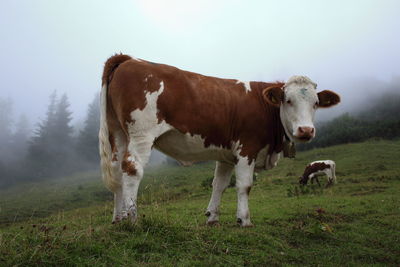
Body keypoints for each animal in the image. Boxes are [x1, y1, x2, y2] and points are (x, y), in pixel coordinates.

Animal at [98, 54, 340, 228]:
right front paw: (244, 219)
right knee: (132, 169)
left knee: (117, 172)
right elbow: (244, 185)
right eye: (288, 100)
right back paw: (132, 219)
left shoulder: (226, 155)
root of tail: (128, 58)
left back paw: (118, 218)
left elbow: (219, 185)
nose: (306, 130)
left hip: (118, 133)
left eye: (316, 103)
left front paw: (212, 217)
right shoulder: (247, 148)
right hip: (141, 134)